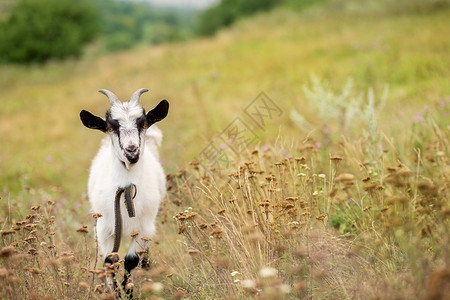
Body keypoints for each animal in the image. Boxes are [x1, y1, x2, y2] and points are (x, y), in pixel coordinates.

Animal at [79, 88, 169, 296]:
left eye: (143, 124)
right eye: (111, 128)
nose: (131, 150)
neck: (126, 188)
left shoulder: (143, 228)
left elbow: (131, 261)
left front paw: (127, 291)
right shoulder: (104, 228)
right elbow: (109, 261)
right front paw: (114, 292)